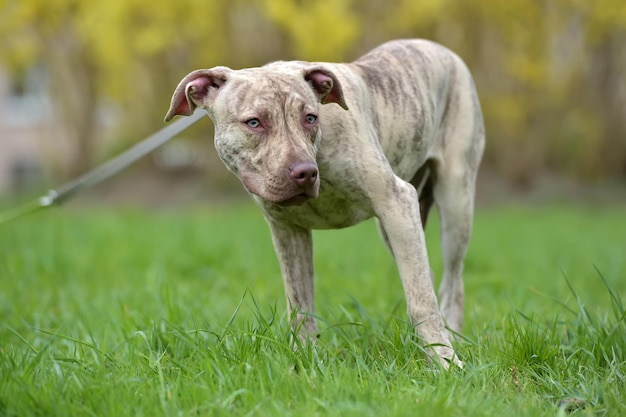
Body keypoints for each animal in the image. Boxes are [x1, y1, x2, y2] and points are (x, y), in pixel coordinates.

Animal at [165, 38, 482, 364]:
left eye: (310, 118)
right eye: (254, 122)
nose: (305, 172)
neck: (319, 147)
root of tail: (437, 47)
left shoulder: (396, 201)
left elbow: (421, 300)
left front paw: (444, 360)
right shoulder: (288, 230)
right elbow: (300, 304)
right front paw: (304, 359)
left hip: (454, 202)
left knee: (451, 282)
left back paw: (453, 339)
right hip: (396, 227)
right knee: (426, 271)